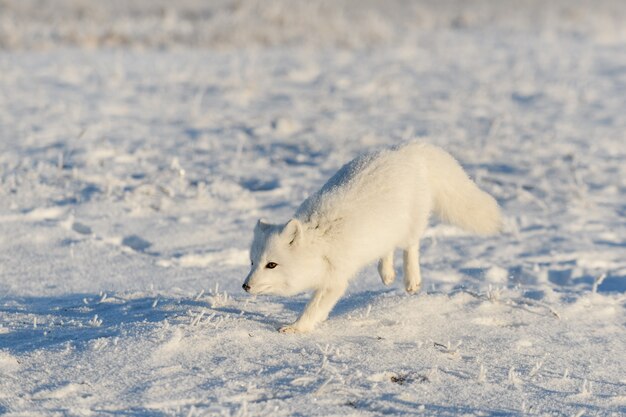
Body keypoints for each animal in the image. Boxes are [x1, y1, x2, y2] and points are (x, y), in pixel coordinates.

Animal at [241, 142, 500, 332]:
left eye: (271, 264)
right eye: (252, 262)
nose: (245, 286)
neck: (320, 244)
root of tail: (408, 148)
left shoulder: (335, 281)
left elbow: (313, 308)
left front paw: (296, 328)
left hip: (410, 224)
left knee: (411, 245)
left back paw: (411, 280)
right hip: (384, 231)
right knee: (387, 249)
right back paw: (387, 274)